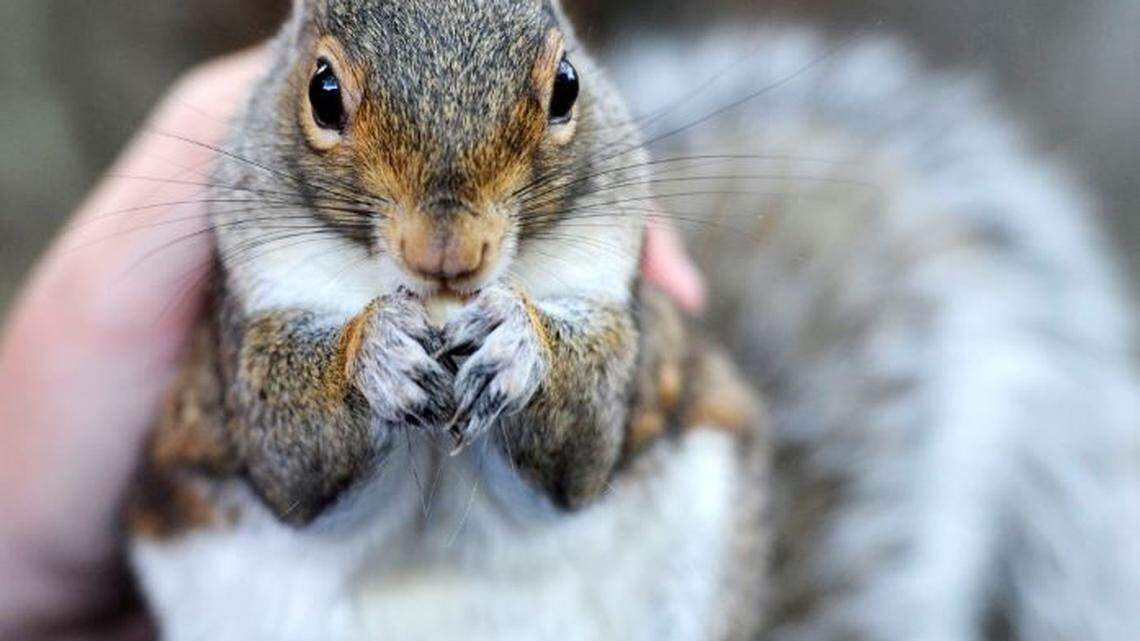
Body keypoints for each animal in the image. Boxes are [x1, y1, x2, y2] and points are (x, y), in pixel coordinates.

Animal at [127, 2, 1140, 641]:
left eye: (568, 85)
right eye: (323, 91)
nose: (449, 251)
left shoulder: (634, 324)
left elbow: (585, 438)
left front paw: (520, 344)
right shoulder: (228, 357)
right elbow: (291, 453)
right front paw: (374, 352)